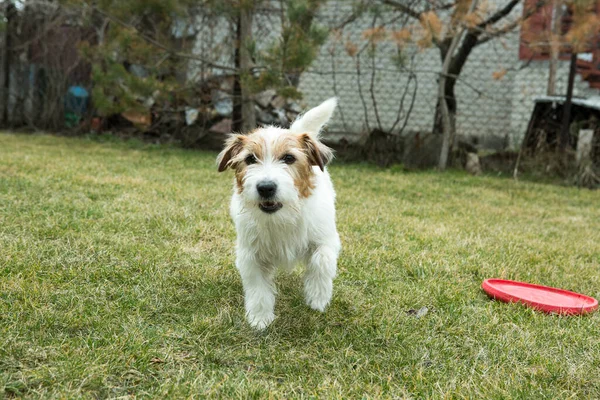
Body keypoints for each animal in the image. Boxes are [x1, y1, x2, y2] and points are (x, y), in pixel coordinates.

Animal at [218, 97, 342, 328]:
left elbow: (321, 262)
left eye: (289, 158)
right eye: (250, 159)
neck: (281, 216)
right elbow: (257, 287)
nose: (265, 187)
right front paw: (259, 318)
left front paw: (317, 297)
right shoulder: (251, 255)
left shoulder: (326, 239)